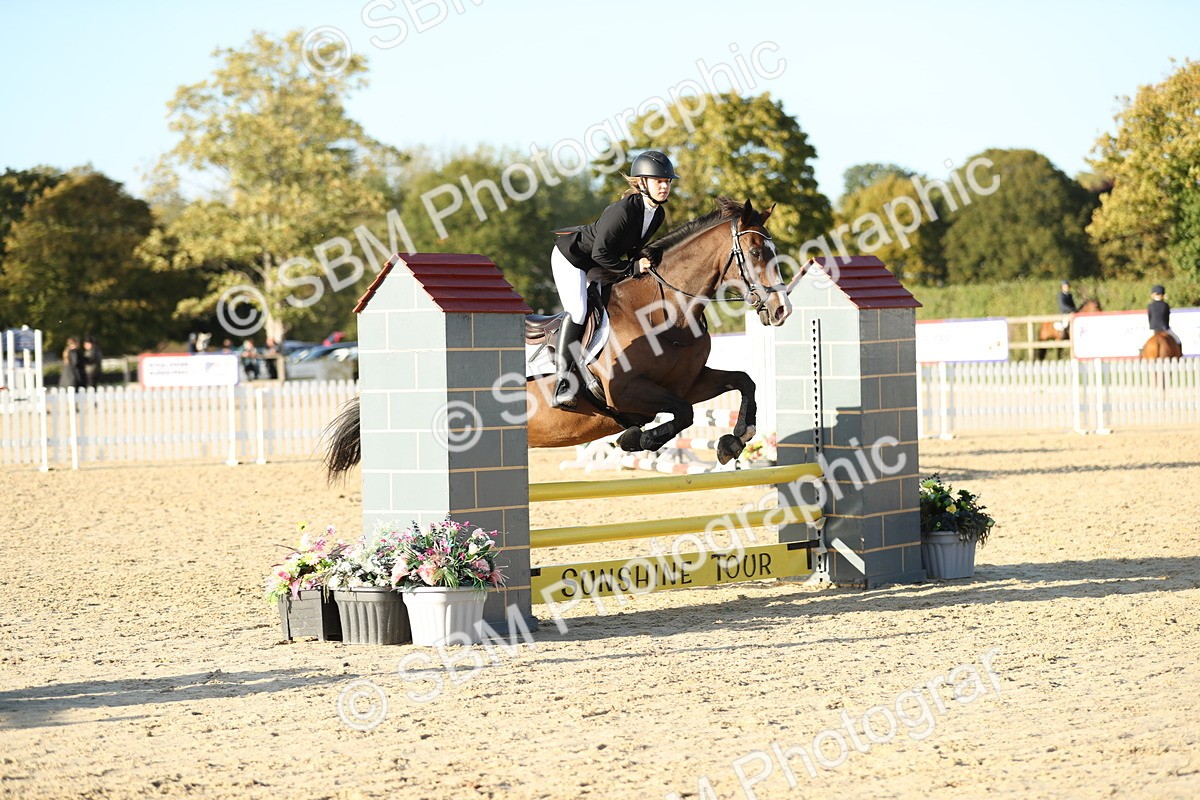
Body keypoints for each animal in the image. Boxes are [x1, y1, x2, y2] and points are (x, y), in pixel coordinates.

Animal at [325, 197, 792, 478]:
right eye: (755, 253)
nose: (781, 310)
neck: (665, 310)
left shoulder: (689, 382)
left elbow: (742, 382)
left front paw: (734, 441)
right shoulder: (627, 392)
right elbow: (681, 415)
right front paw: (634, 439)